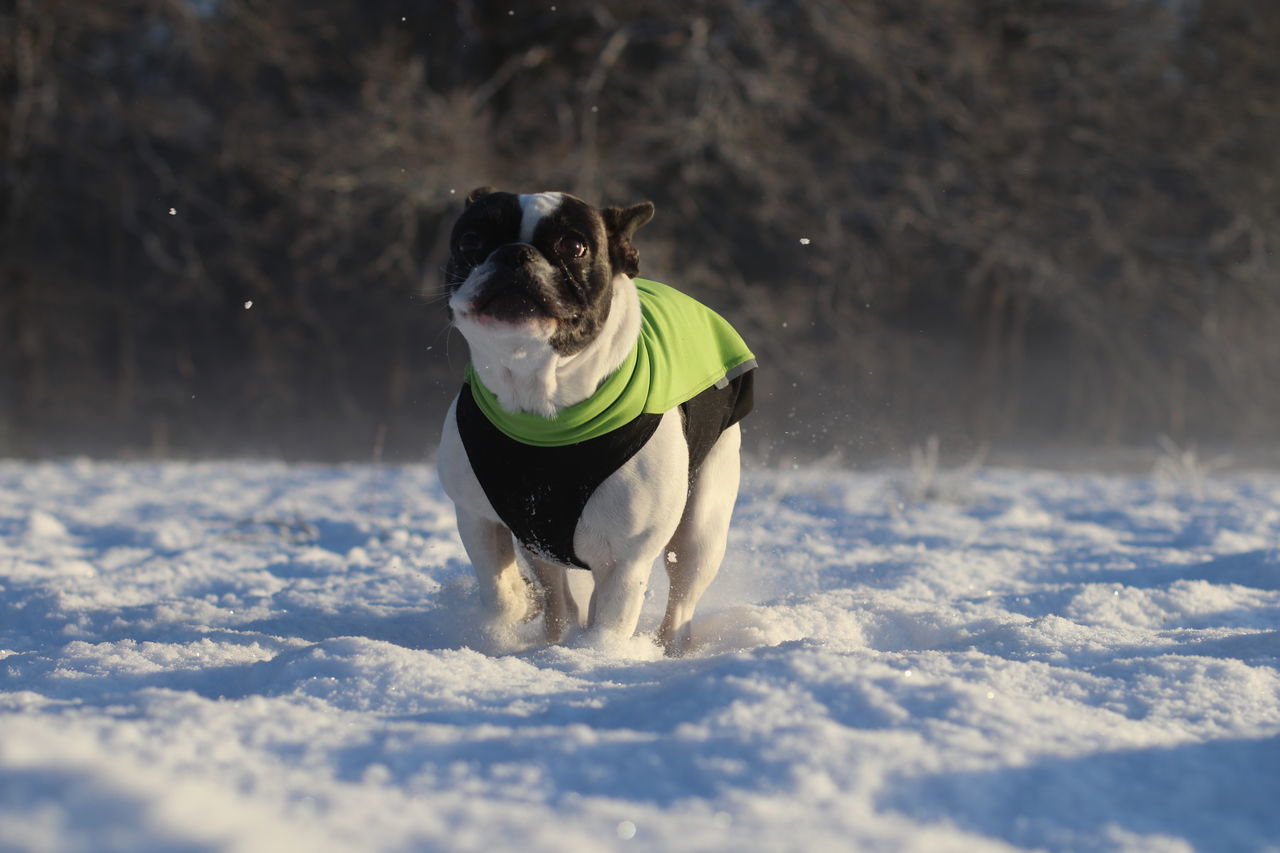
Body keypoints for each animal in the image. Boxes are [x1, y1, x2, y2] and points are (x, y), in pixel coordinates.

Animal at [440, 184, 757, 650]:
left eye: (574, 245)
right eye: (471, 239)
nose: (515, 253)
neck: (540, 397)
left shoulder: (627, 557)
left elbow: (611, 620)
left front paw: (596, 654)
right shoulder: (478, 516)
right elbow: (498, 588)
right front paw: (516, 606)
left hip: (702, 521)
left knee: (682, 591)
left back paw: (669, 647)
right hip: (538, 541)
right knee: (558, 595)